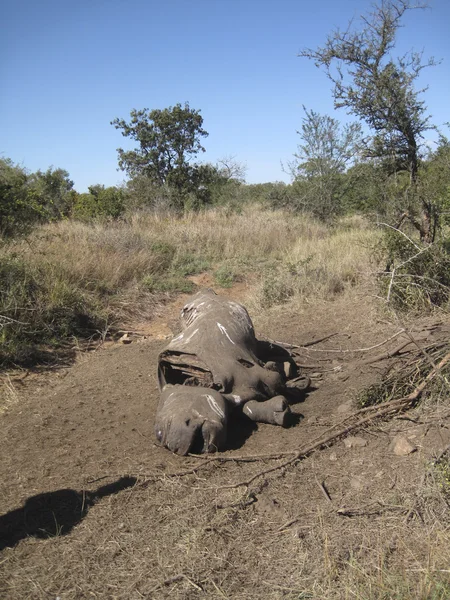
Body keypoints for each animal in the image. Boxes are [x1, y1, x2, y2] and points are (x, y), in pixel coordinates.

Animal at [156, 290, 310, 454]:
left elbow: (274, 382)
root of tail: (206, 291)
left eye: (187, 419)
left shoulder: (261, 377)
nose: (174, 442)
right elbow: (248, 408)